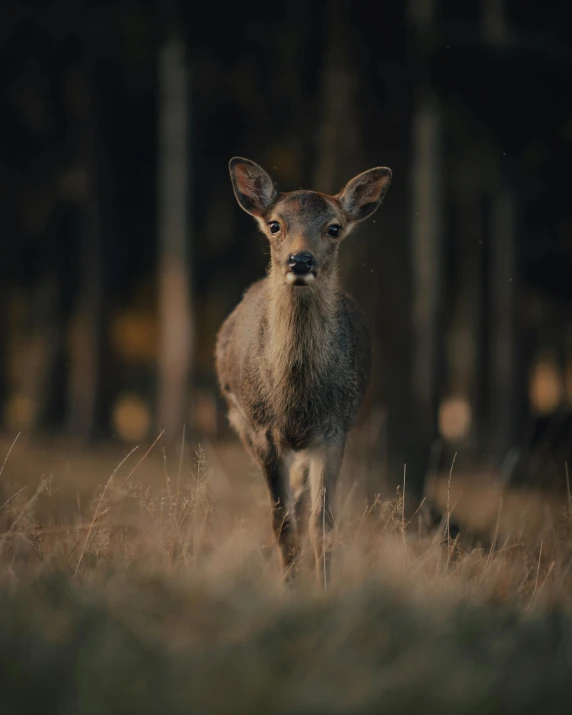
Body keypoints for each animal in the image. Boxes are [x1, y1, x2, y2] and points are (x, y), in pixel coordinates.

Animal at [216, 158, 394, 588]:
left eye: (334, 227)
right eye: (275, 224)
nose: (300, 261)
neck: (295, 399)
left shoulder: (335, 429)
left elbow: (322, 524)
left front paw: (323, 589)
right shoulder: (262, 430)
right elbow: (282, 522)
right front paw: (289, 588)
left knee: (301, 502)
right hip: (241, 422)